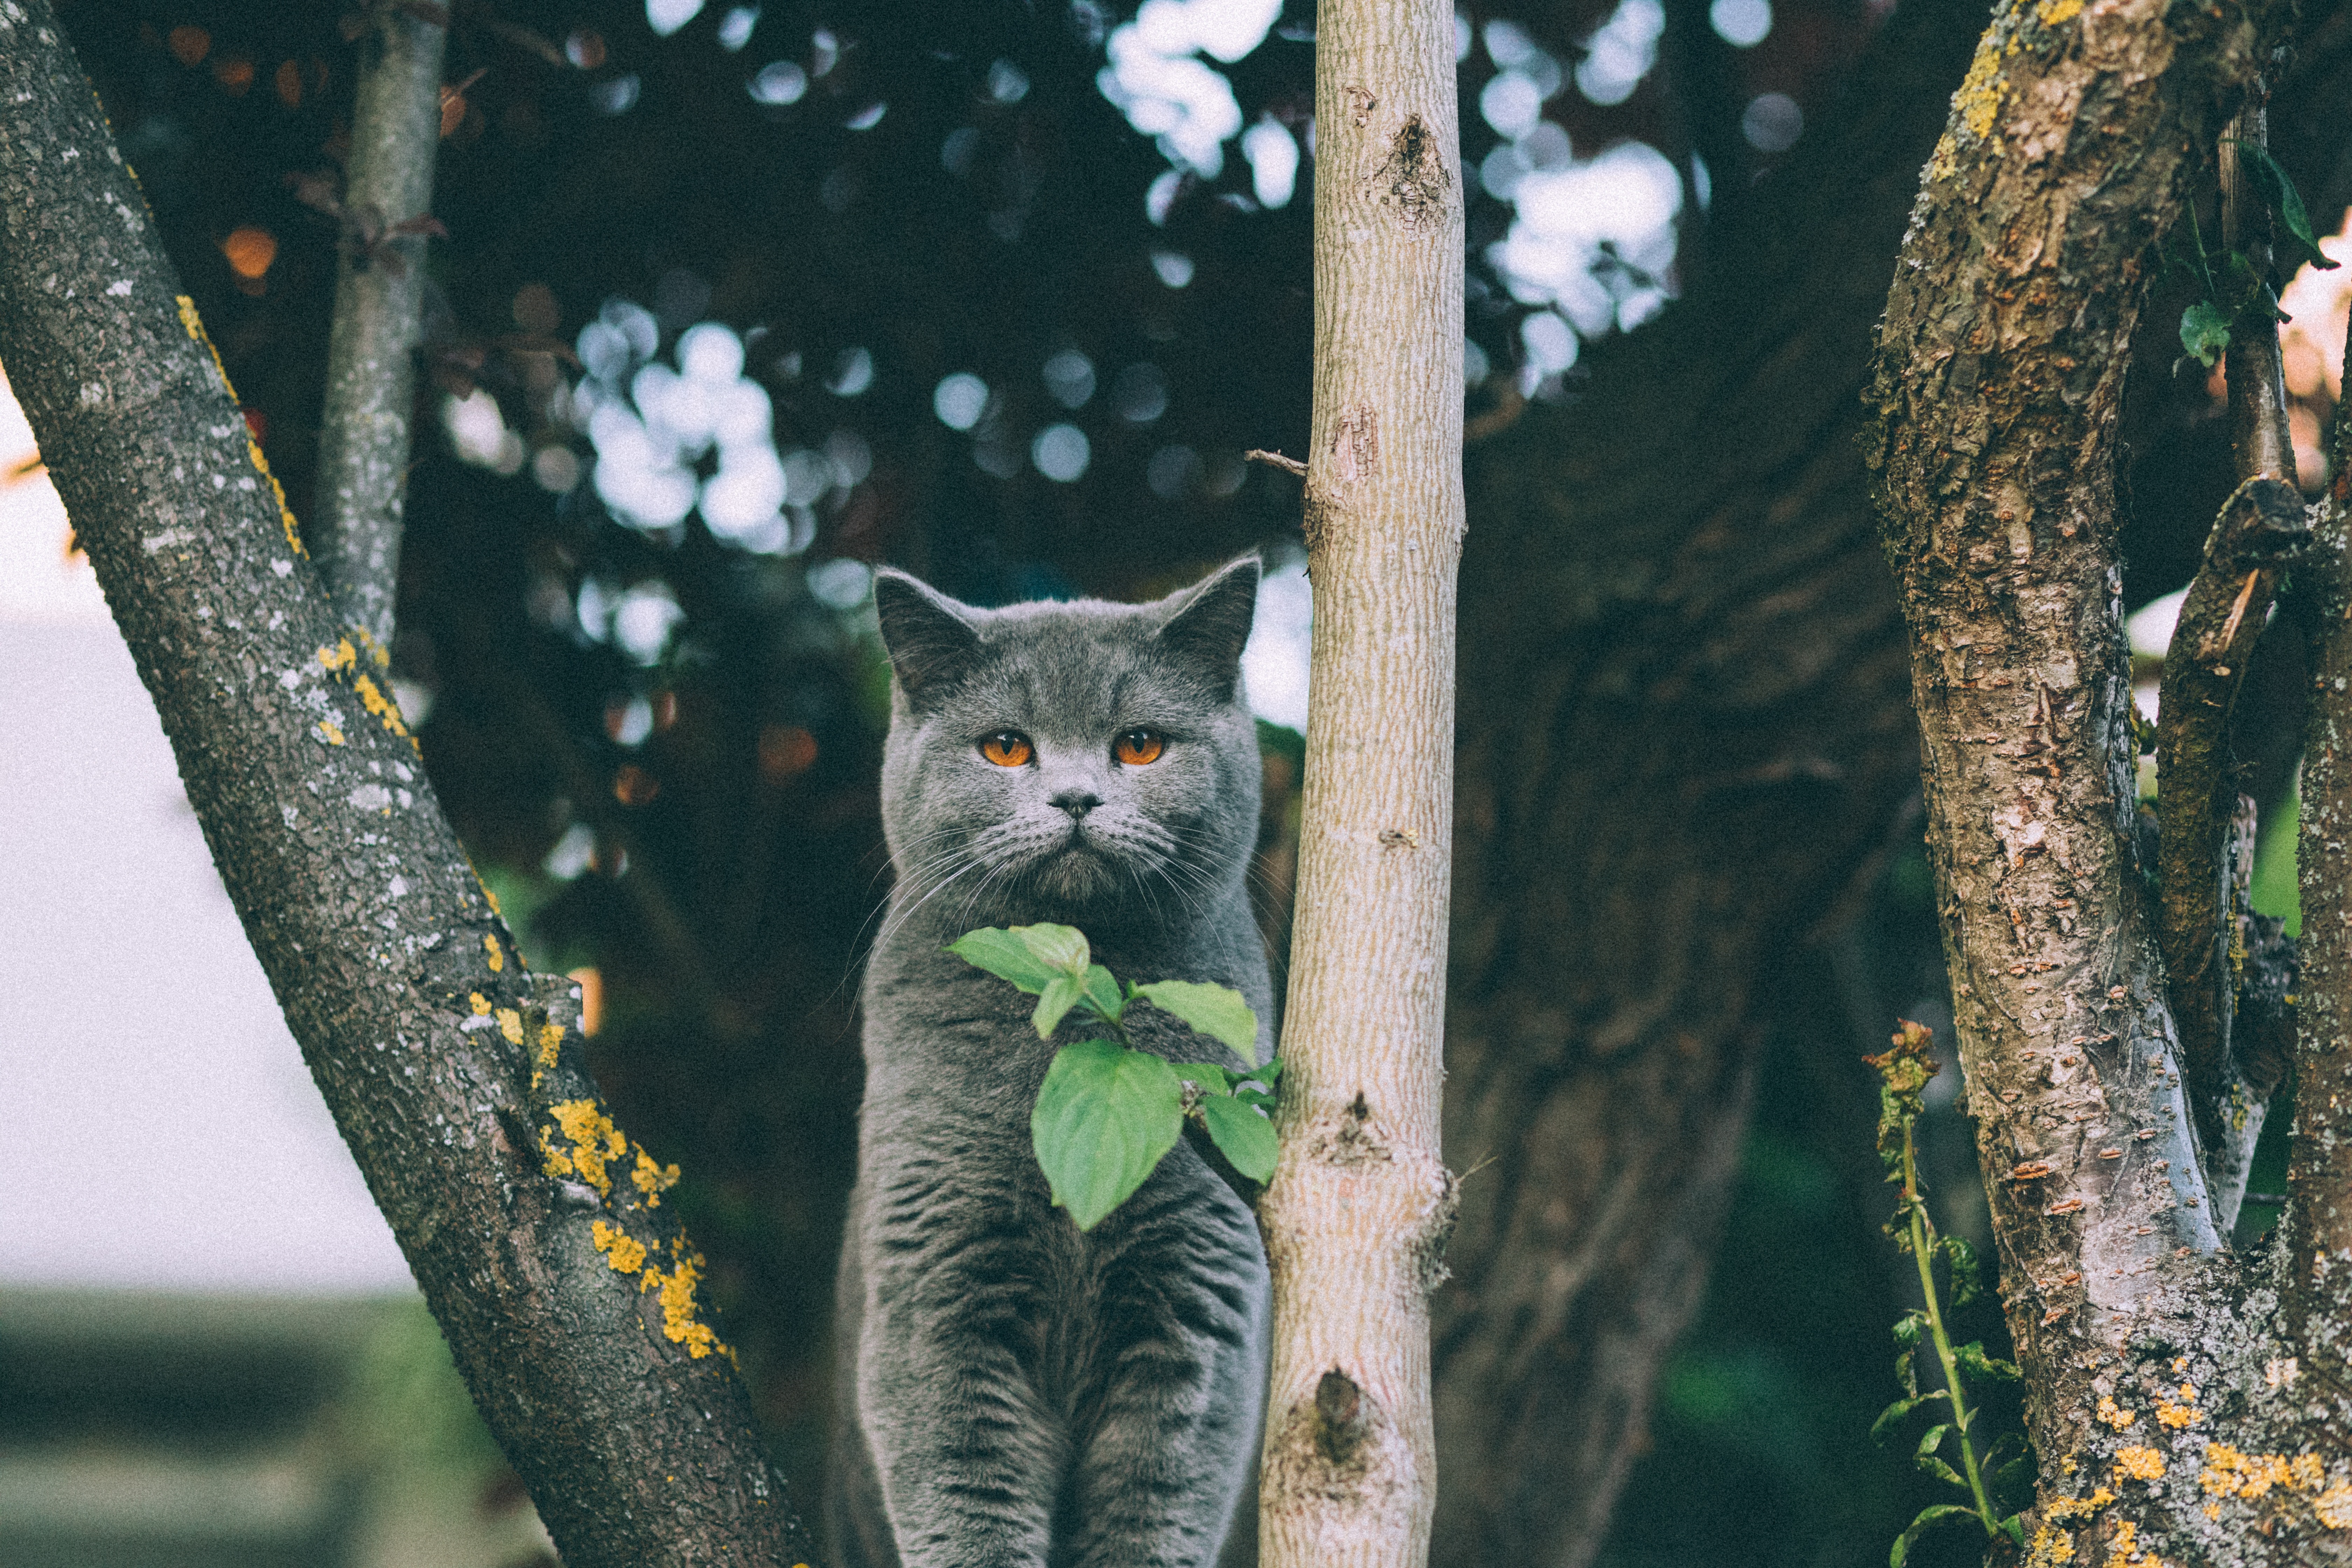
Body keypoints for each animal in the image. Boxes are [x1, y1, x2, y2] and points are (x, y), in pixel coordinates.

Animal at [828, 557, 1270, 1568]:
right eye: (1004, 748)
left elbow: (1158, 1502)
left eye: (1141, 746)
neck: (1078, 1035)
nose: (1075, 799)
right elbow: (966, 1493)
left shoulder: (1201, 1302)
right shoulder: (936, 1287)